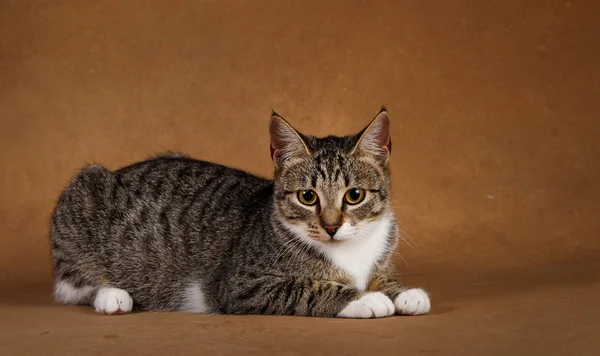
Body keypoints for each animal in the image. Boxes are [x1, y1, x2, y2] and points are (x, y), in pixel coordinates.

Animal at [48, 107, 432, 318]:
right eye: (308, 197)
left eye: (354, 196)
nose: (331, 226)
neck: (350, 253)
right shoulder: (241, 284)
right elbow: (309, 288)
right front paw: (366, 299)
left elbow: (384, 277)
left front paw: (403, 293)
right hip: (82, 195)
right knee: (73, 285)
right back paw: (111, 295)